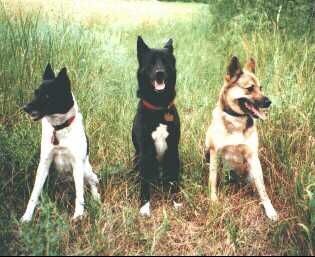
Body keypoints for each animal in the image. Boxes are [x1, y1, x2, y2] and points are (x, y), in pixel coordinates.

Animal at [21, 64, 100, 222]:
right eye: (36, 93)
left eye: (47, 96)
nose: (25, 108)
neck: (59, 128)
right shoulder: (44, 164)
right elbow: (34, 194)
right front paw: (27, 217)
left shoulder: (77, 165)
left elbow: (80, 195)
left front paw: (78, 216)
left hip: (86, 170)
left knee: (93, 182)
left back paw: (96, 198)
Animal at [132, 36, 181, 216]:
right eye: (151, 63)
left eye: (165, 62)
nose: (160, 72)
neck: (159, 109)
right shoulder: (145, 152)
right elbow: (144, 185)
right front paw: (144, 207)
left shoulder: (173, 149)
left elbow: (173, 180)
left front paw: (176, 202)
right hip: (137, 159)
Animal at [206, 56, 280, 220]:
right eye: (250, 88)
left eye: (261, 87)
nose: (269, 102)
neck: (236, 121)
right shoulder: (215, 153)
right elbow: (212, 179)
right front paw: (213, 200)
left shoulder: (252, 156)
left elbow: (262, 188)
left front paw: (269, 209)